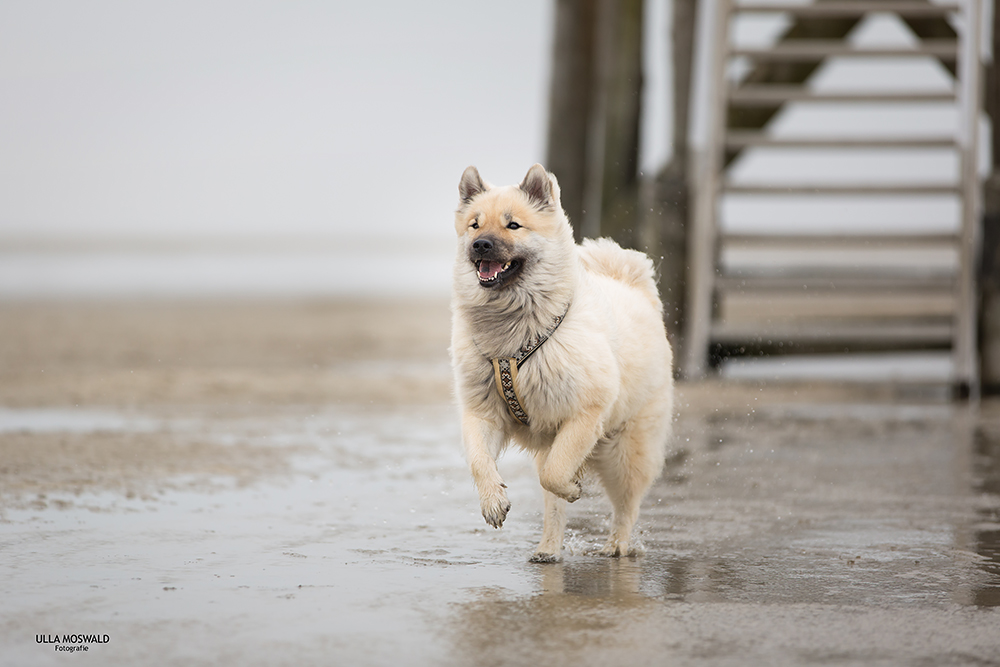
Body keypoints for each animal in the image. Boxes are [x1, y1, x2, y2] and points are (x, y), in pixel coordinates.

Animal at [452, 164, 672, 560]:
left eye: (513, 225)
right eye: (475, 225)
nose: (480, 245)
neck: (515, 333)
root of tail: (634, 289)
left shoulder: (586, 413)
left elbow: (556, 474)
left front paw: (572, 487)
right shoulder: (482, 413)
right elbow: (480, 461)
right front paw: (493, 502)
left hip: (626, 450)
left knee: (626, 503)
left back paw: (618, 544)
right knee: (553, 505)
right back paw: (548, 549)